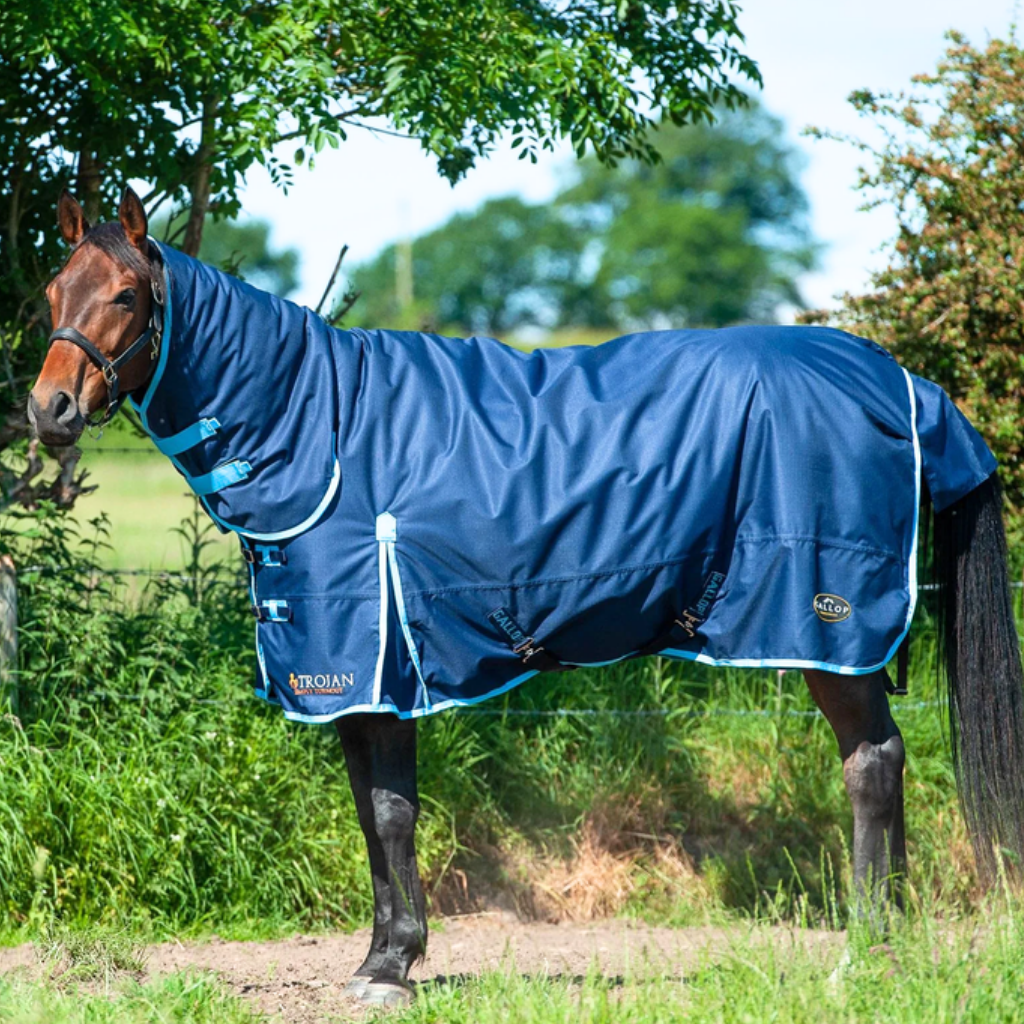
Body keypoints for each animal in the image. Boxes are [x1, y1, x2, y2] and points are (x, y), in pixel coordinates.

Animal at [30, 188, 1024, 1007]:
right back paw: (891, 943)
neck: (321, 430)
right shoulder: (353, 676)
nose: (49, 411)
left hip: (827, 626)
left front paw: (391, 969)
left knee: (871, 765)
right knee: (884, 760)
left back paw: (864, 951)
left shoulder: (372, 662)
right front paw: (384, 956)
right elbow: (372, 809)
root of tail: (902, 385)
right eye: (50, 292)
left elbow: (390, 813)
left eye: (127, 296)